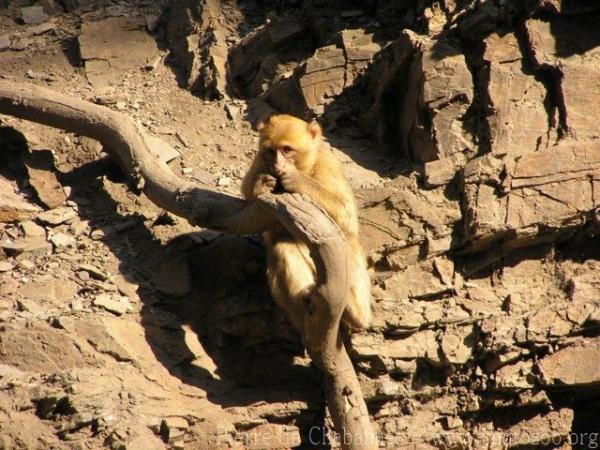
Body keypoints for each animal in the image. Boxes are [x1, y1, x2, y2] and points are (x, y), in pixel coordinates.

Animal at [240, 113, 370, 330]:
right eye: (271, 151)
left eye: (287, 150)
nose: (277, 166)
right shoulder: (260, 161)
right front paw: (262, 184)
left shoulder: (328, 163)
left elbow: (346, 215)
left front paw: (298, 180)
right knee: (282, 245)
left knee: (349, 243)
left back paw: (356, 315)